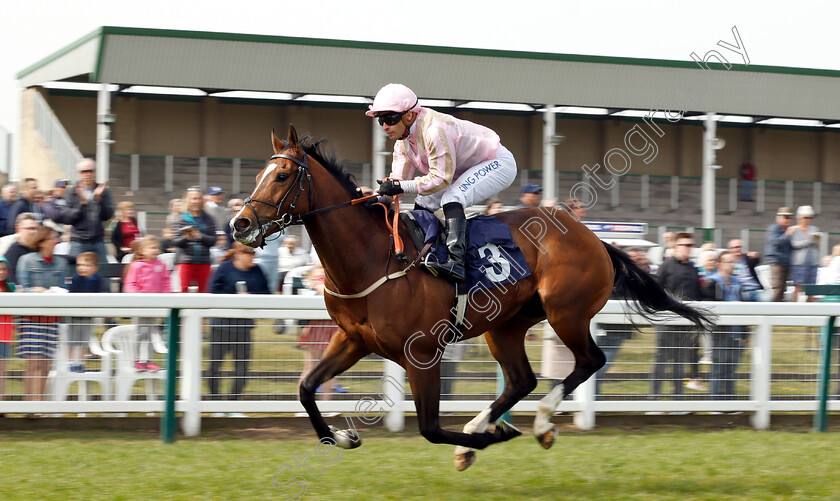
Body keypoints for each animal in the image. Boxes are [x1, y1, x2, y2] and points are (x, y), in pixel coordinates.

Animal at [233, 125, 712, 468]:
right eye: (257, 174)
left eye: (282, 175)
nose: (239, 224)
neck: (372, 258)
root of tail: (594, 238)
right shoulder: (352, 339)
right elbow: (306, 388)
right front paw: (342, 436)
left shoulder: (422, 353)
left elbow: (429, 427)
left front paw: (488, 438)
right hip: (507, 324)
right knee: (521, 380)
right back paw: (489, 427)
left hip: (566, 312)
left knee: (588, 361)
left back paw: (539, 423)